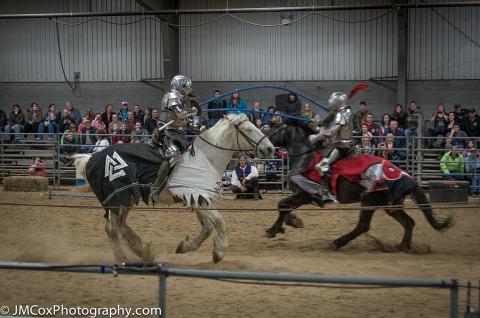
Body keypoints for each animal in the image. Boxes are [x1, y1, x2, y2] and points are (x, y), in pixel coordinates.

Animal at [73, 114, 276, 264]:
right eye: (248, 129)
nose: (270, 148)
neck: (206, 158)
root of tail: (92, 158)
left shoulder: (199, 199)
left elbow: (209, 226)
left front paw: (186, 246)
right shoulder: (199, 199)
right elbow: (219, 221)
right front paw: (219, 252)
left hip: (125, 200)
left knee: (119, 226)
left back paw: (140, 249)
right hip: (117, 200)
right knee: (112, 229)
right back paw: (123, 258)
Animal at [268, 123, 452, 251]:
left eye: (275, 129)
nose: (268, 146)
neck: (305, 158)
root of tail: (408, 178)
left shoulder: (305, 194)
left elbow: (282, 205)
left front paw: (277, 228)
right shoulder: (302, 196)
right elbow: (284, 207)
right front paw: (286, 224)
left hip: (369, 199)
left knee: (363, 226)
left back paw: (336, 243)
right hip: (390, 205)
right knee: (409, 222)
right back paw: (402, 246)